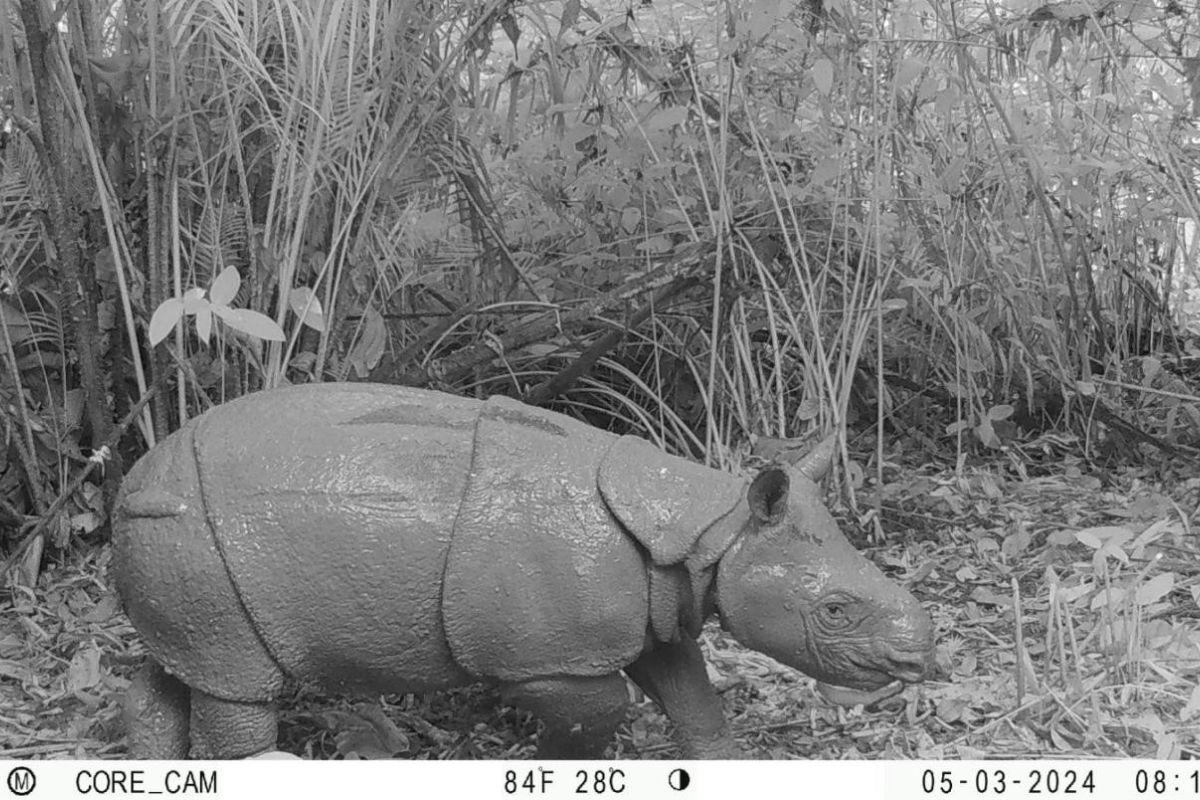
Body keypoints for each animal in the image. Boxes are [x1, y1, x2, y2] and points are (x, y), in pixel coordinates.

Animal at [112, 383, 936, 762]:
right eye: (835, 611)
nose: (917, 662)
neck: (709, 531)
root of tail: (131, 483)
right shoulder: (545, 657)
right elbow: (599, 710)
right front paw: (549, 762)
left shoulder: (656, 609)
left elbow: (690, 694)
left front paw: (721, 761)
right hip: (198, 534)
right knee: (237, 684)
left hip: (187, 552)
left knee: (193, 664)